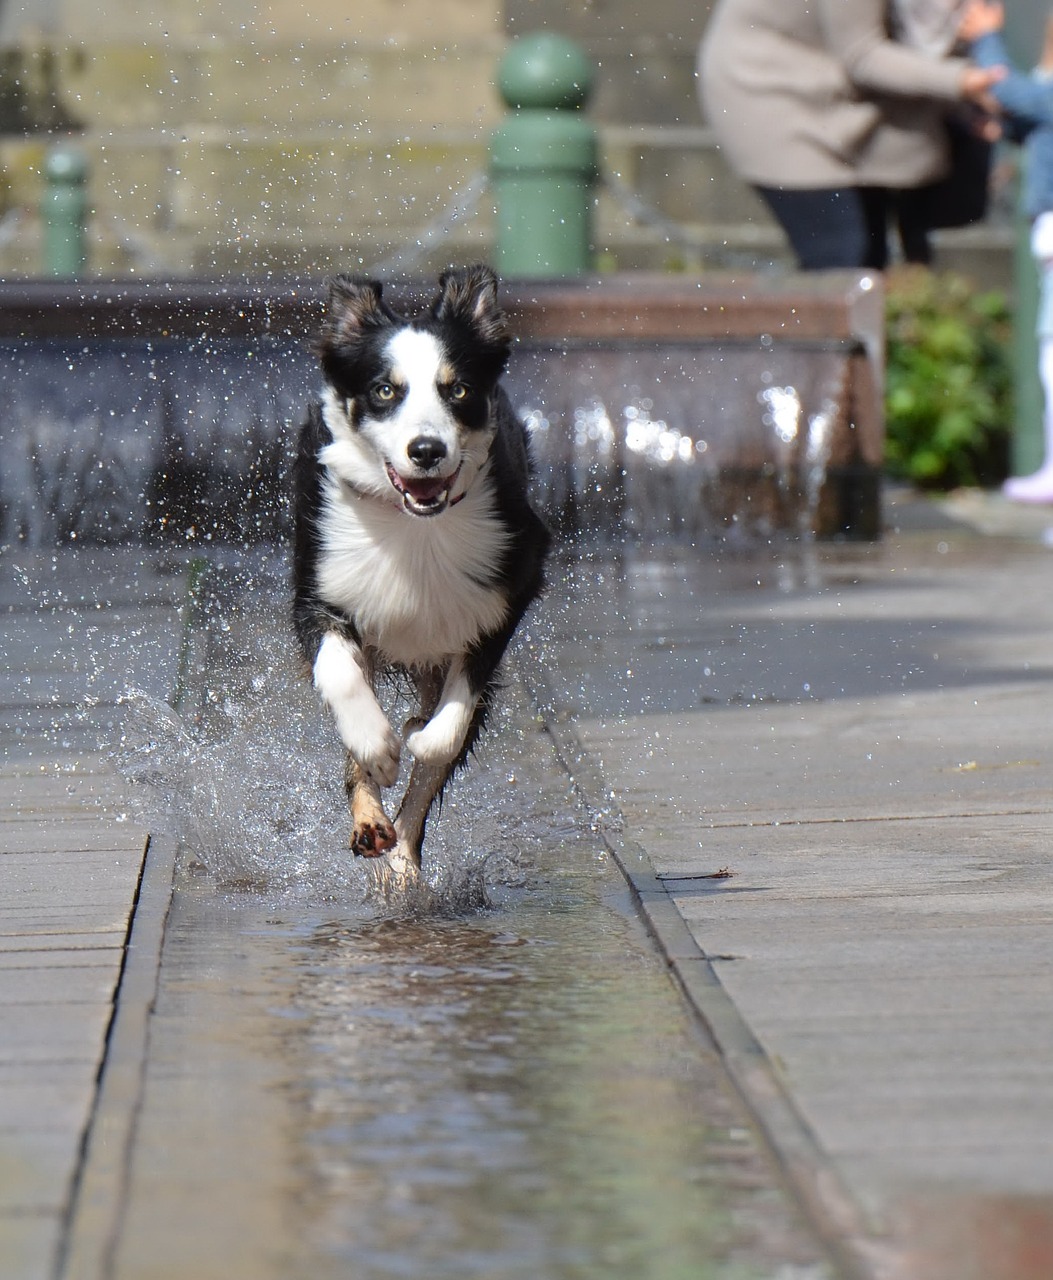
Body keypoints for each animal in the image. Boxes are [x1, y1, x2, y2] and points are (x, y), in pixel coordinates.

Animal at [290, 261, 552, 880]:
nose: (427, 450)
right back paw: (371, 824)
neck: (416, 529)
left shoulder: (511, 585)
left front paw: (415, 736)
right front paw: (379, 747)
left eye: (457, 389)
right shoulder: (318, 587)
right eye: (385, 390)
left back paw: (402, 862)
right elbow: (342, 679)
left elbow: (447, 730)